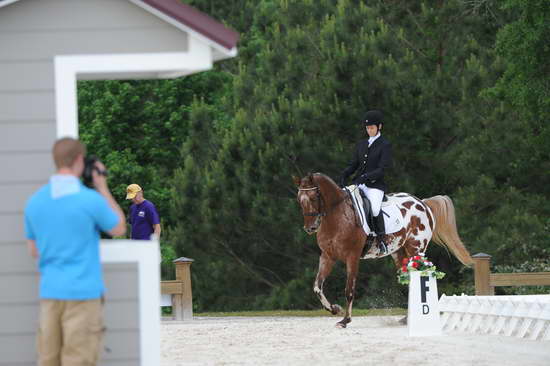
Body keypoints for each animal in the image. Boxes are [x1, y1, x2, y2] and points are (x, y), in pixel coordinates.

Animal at [294, 173, 474, 328]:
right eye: (299, 200)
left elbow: (349, 290)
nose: (310, 228)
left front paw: (345, 320)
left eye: (313, 197)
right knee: (409, 281)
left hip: (416, 250)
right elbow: (317, 287)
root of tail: (422, 203)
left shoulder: (352, 257)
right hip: (399, 254)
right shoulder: (327, 256)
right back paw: (406, 319)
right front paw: (334, 309)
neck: (337, 217)